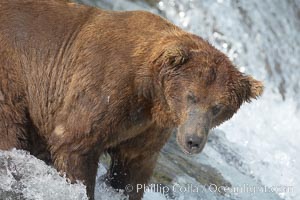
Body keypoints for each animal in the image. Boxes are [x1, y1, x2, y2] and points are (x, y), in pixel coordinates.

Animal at [0, 0, 262, 199]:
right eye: (191, 96)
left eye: (218, 107)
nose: (193, 140)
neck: (150, 92)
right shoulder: (107, 85)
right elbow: (75, 142)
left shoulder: (147, 128)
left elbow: (132, 169)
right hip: (13, 76)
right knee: (11, 129)